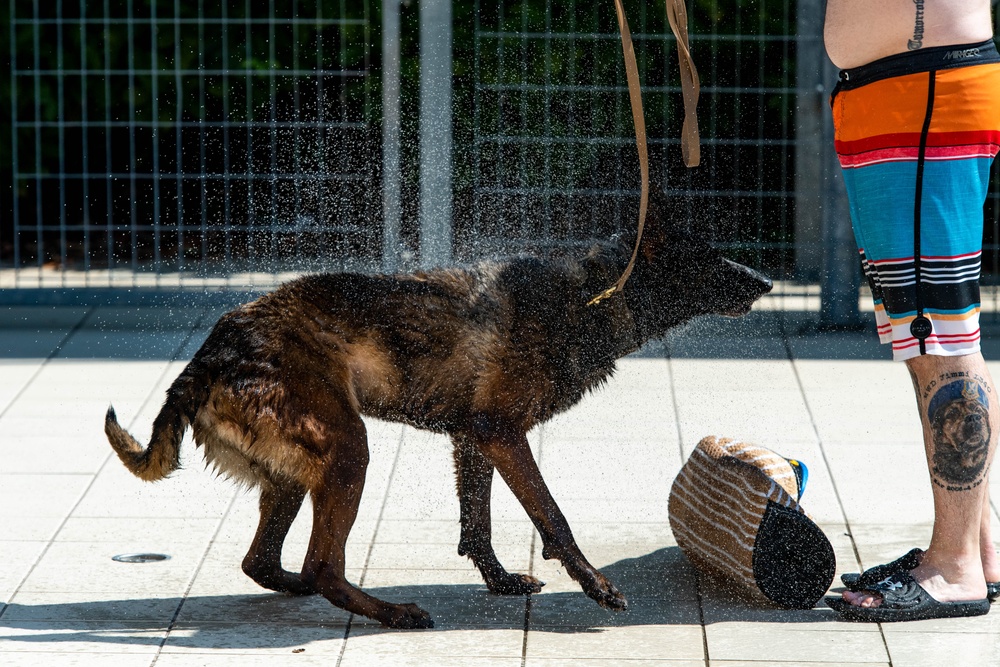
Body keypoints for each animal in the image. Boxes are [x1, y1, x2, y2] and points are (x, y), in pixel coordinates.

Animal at [103, 192, 772, 628]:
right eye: (712, 258)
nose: (767, 282)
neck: (592, 292)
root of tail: (214, 350)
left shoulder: (474, 438)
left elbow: (478, 522)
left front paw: (500, 582)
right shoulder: (502, 434)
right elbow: (553, 517)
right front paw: (595, 584)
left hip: (297, 472)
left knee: (266, 562)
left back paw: (307, 589)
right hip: (348, 451)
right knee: (322, 566)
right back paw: (392, 612)